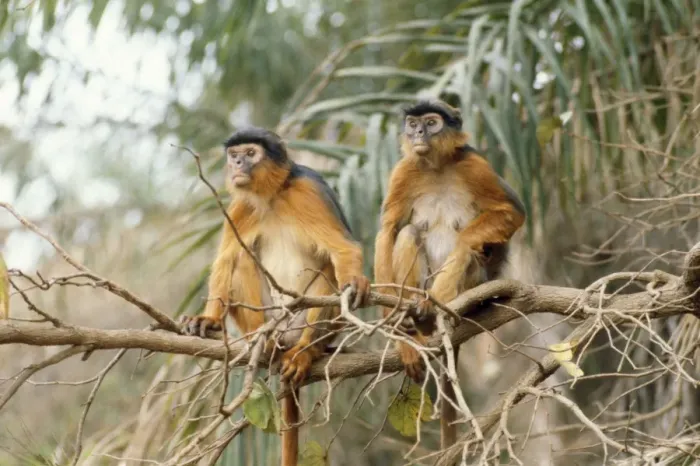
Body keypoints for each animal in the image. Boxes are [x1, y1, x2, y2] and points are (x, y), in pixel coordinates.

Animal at [180, 127, 371, 466]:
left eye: (250, 153)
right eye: (234, 154)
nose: (238, 163)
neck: (272, 196)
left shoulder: (309, 190)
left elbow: (344, 251)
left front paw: (354, 283)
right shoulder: (241, 207)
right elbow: (226, 261)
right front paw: (208, 319)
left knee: (329, 270)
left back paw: (306, 351)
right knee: (241, 260)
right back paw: (263, 342)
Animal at [373, 99, 526, 448]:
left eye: (432, 123)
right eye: (414, 123)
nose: (418, 133)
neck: (436, 167)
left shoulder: (474, 164)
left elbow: (511, 214)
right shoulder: (404, 170)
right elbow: (389, 230)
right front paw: (397, 330)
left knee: (468, 251)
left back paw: (441, 308)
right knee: (408, 233)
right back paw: (415, 321)